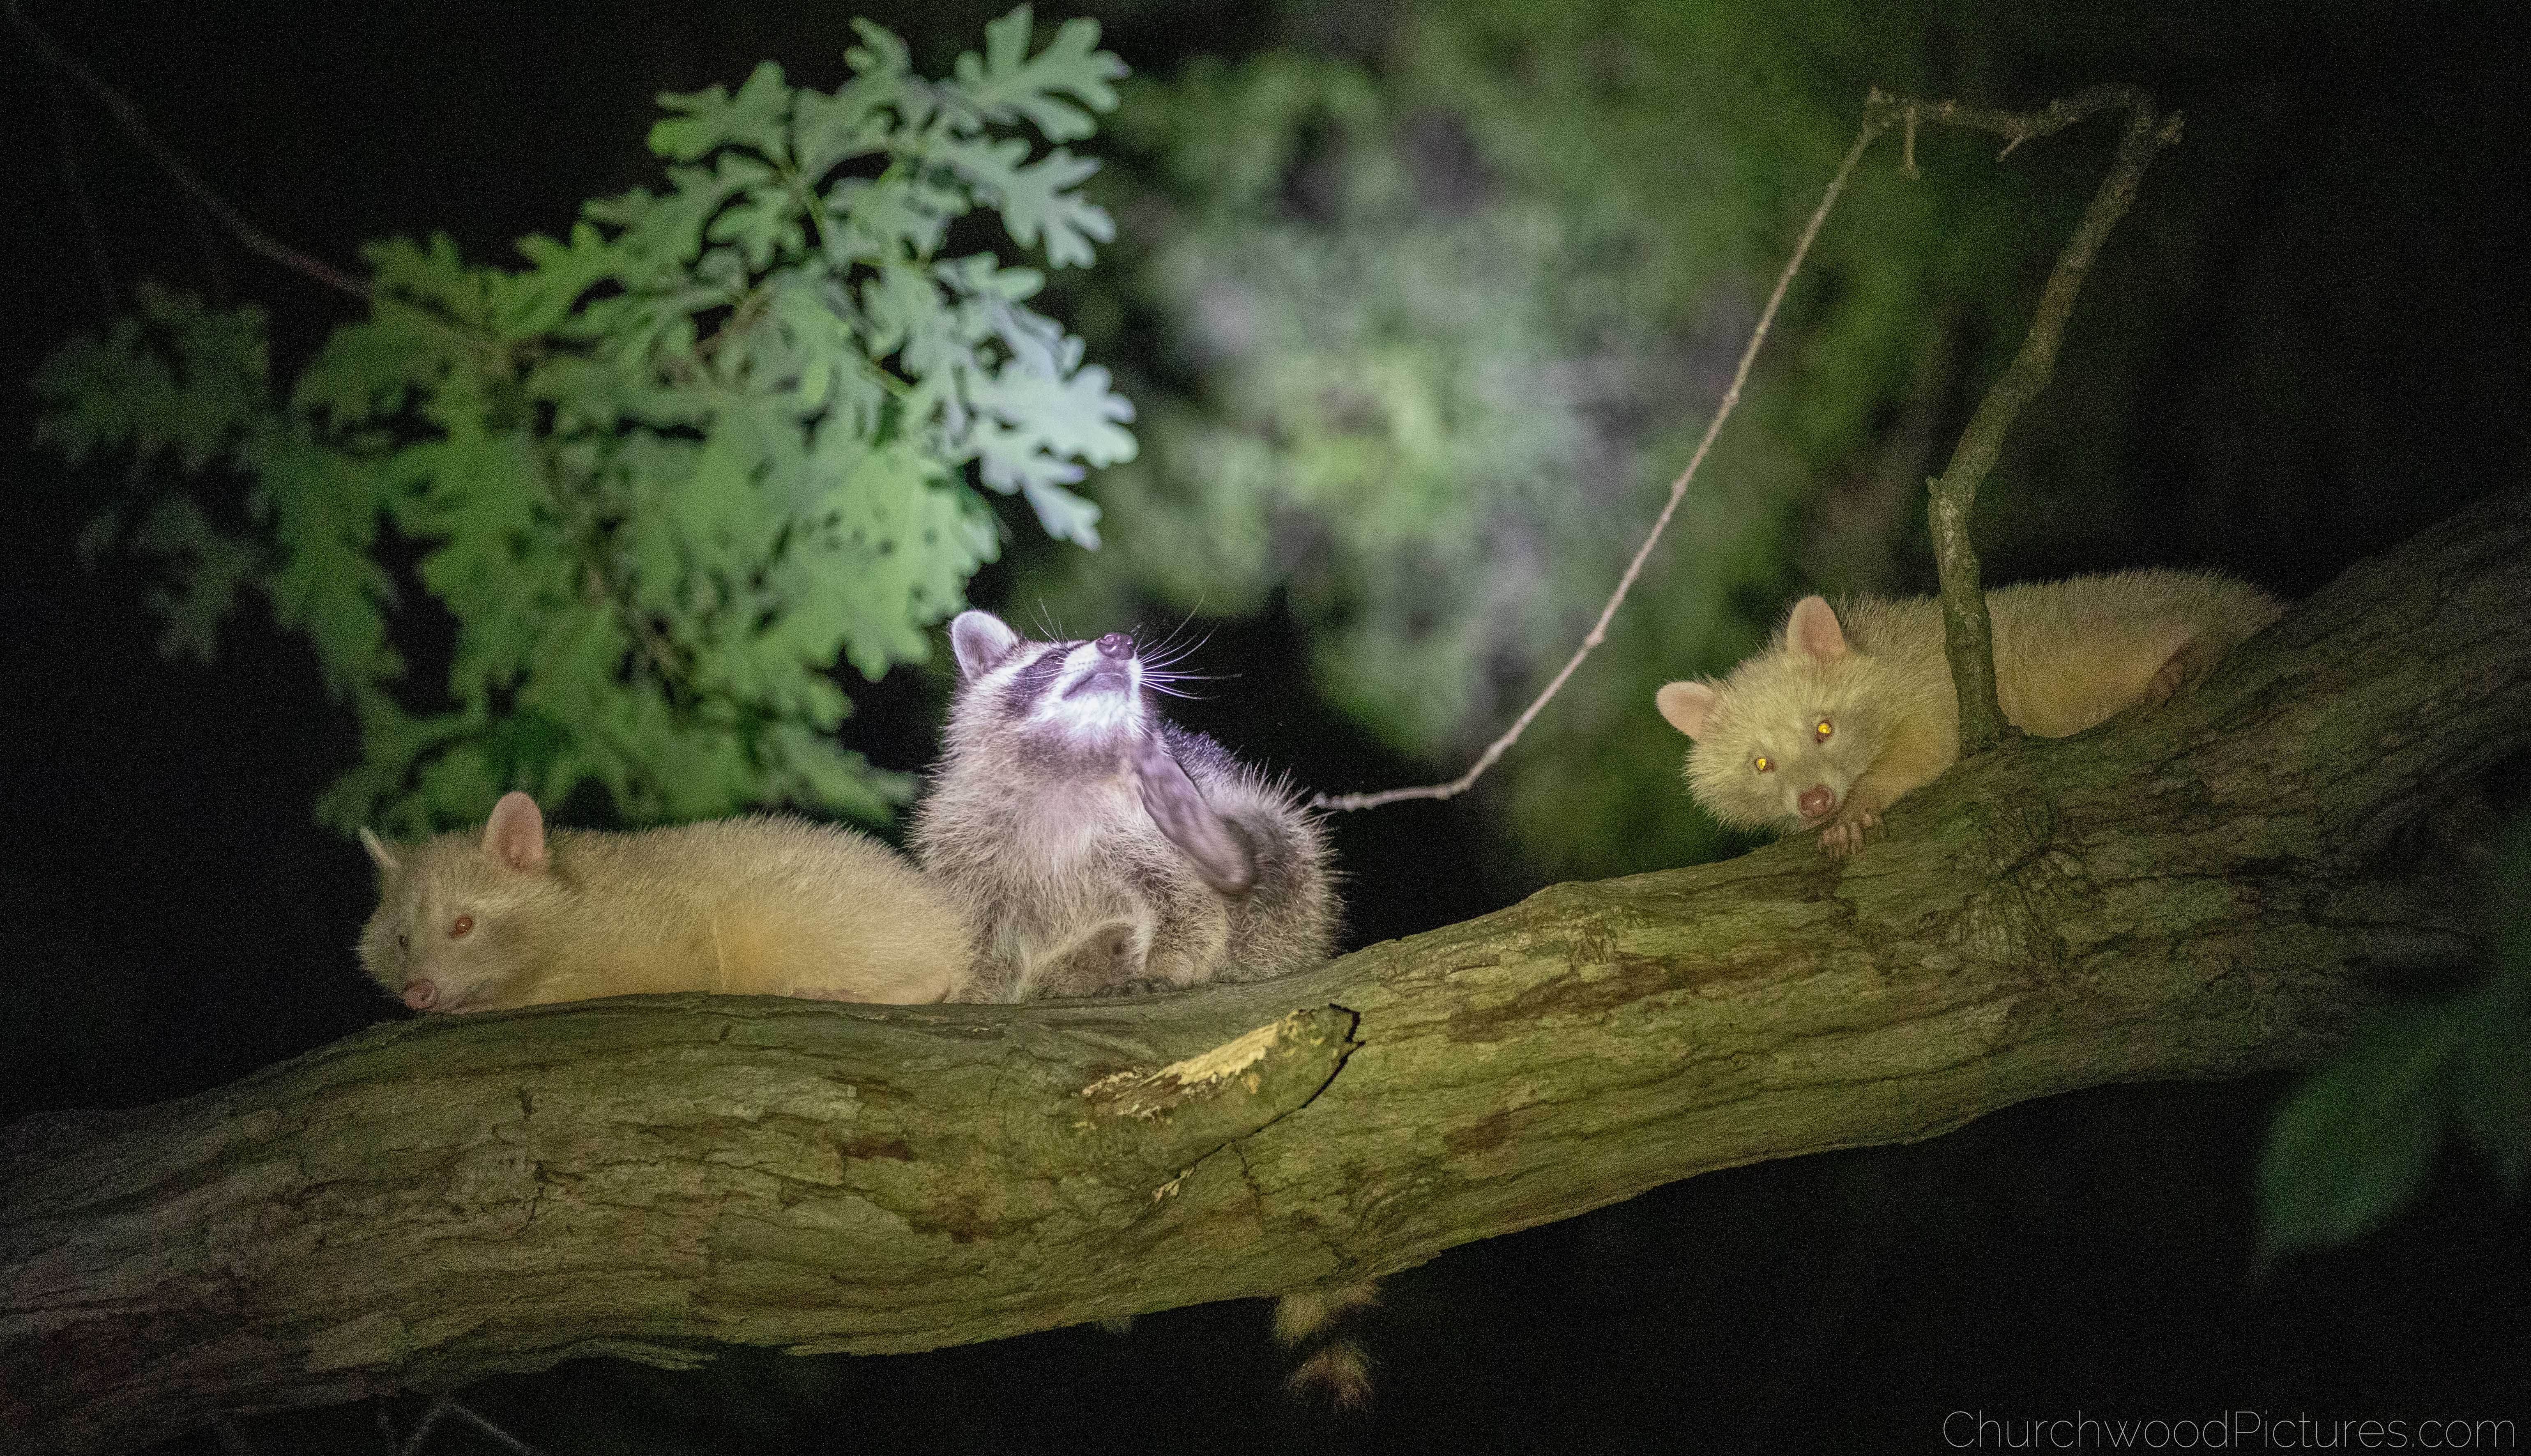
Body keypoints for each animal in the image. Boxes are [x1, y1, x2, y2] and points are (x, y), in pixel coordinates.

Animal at [1657, 569, 2284, 856]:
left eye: (1824, 727)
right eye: (1760, 764)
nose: (1816, 802)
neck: (1887, 660)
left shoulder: (1938, 693)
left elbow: (1928, 750)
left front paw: (1857, 809)